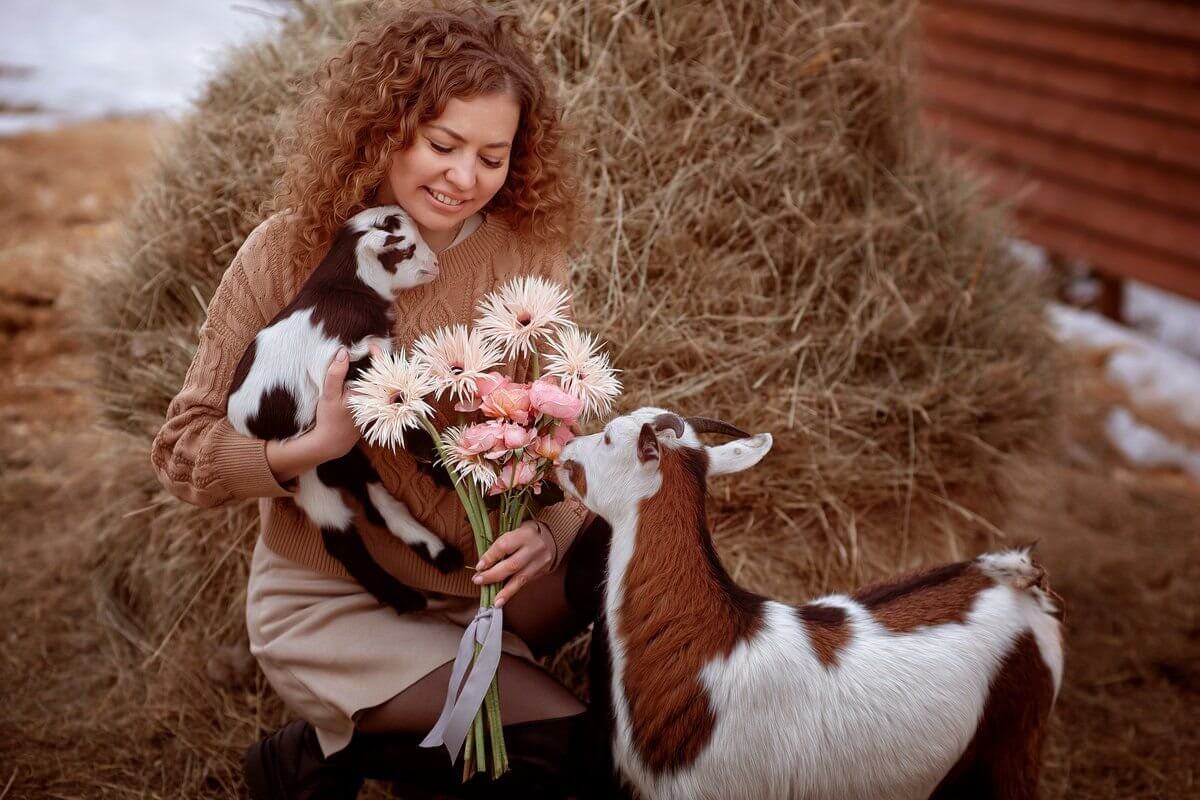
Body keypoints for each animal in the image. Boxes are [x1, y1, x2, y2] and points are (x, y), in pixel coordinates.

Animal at [226, 206, 460, 614]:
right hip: (308, 473)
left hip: (339, 459)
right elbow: (398, 404)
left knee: (379, 505)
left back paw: (440, 555)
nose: (434, 265)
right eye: (408, 248)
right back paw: (405, 597)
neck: (346, 293)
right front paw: (441, 460)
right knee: (341, 539)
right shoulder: (341, 366)